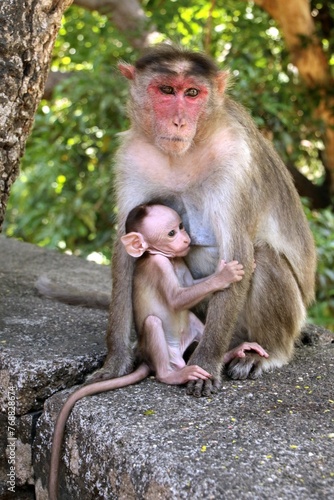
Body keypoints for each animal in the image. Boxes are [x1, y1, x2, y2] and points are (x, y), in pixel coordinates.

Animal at [120, 203, 268, 382]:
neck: (160, 254)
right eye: (171, 233)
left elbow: (191, 285)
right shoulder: (159, 265)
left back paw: (229, 354)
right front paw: (225, 275)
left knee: (191, 318)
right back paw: (171, 375)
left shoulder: (179, 261)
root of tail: (147, 360)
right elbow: (176, 299)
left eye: (181, 226)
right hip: (158, 349)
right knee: (152, 323)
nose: (186, 239)